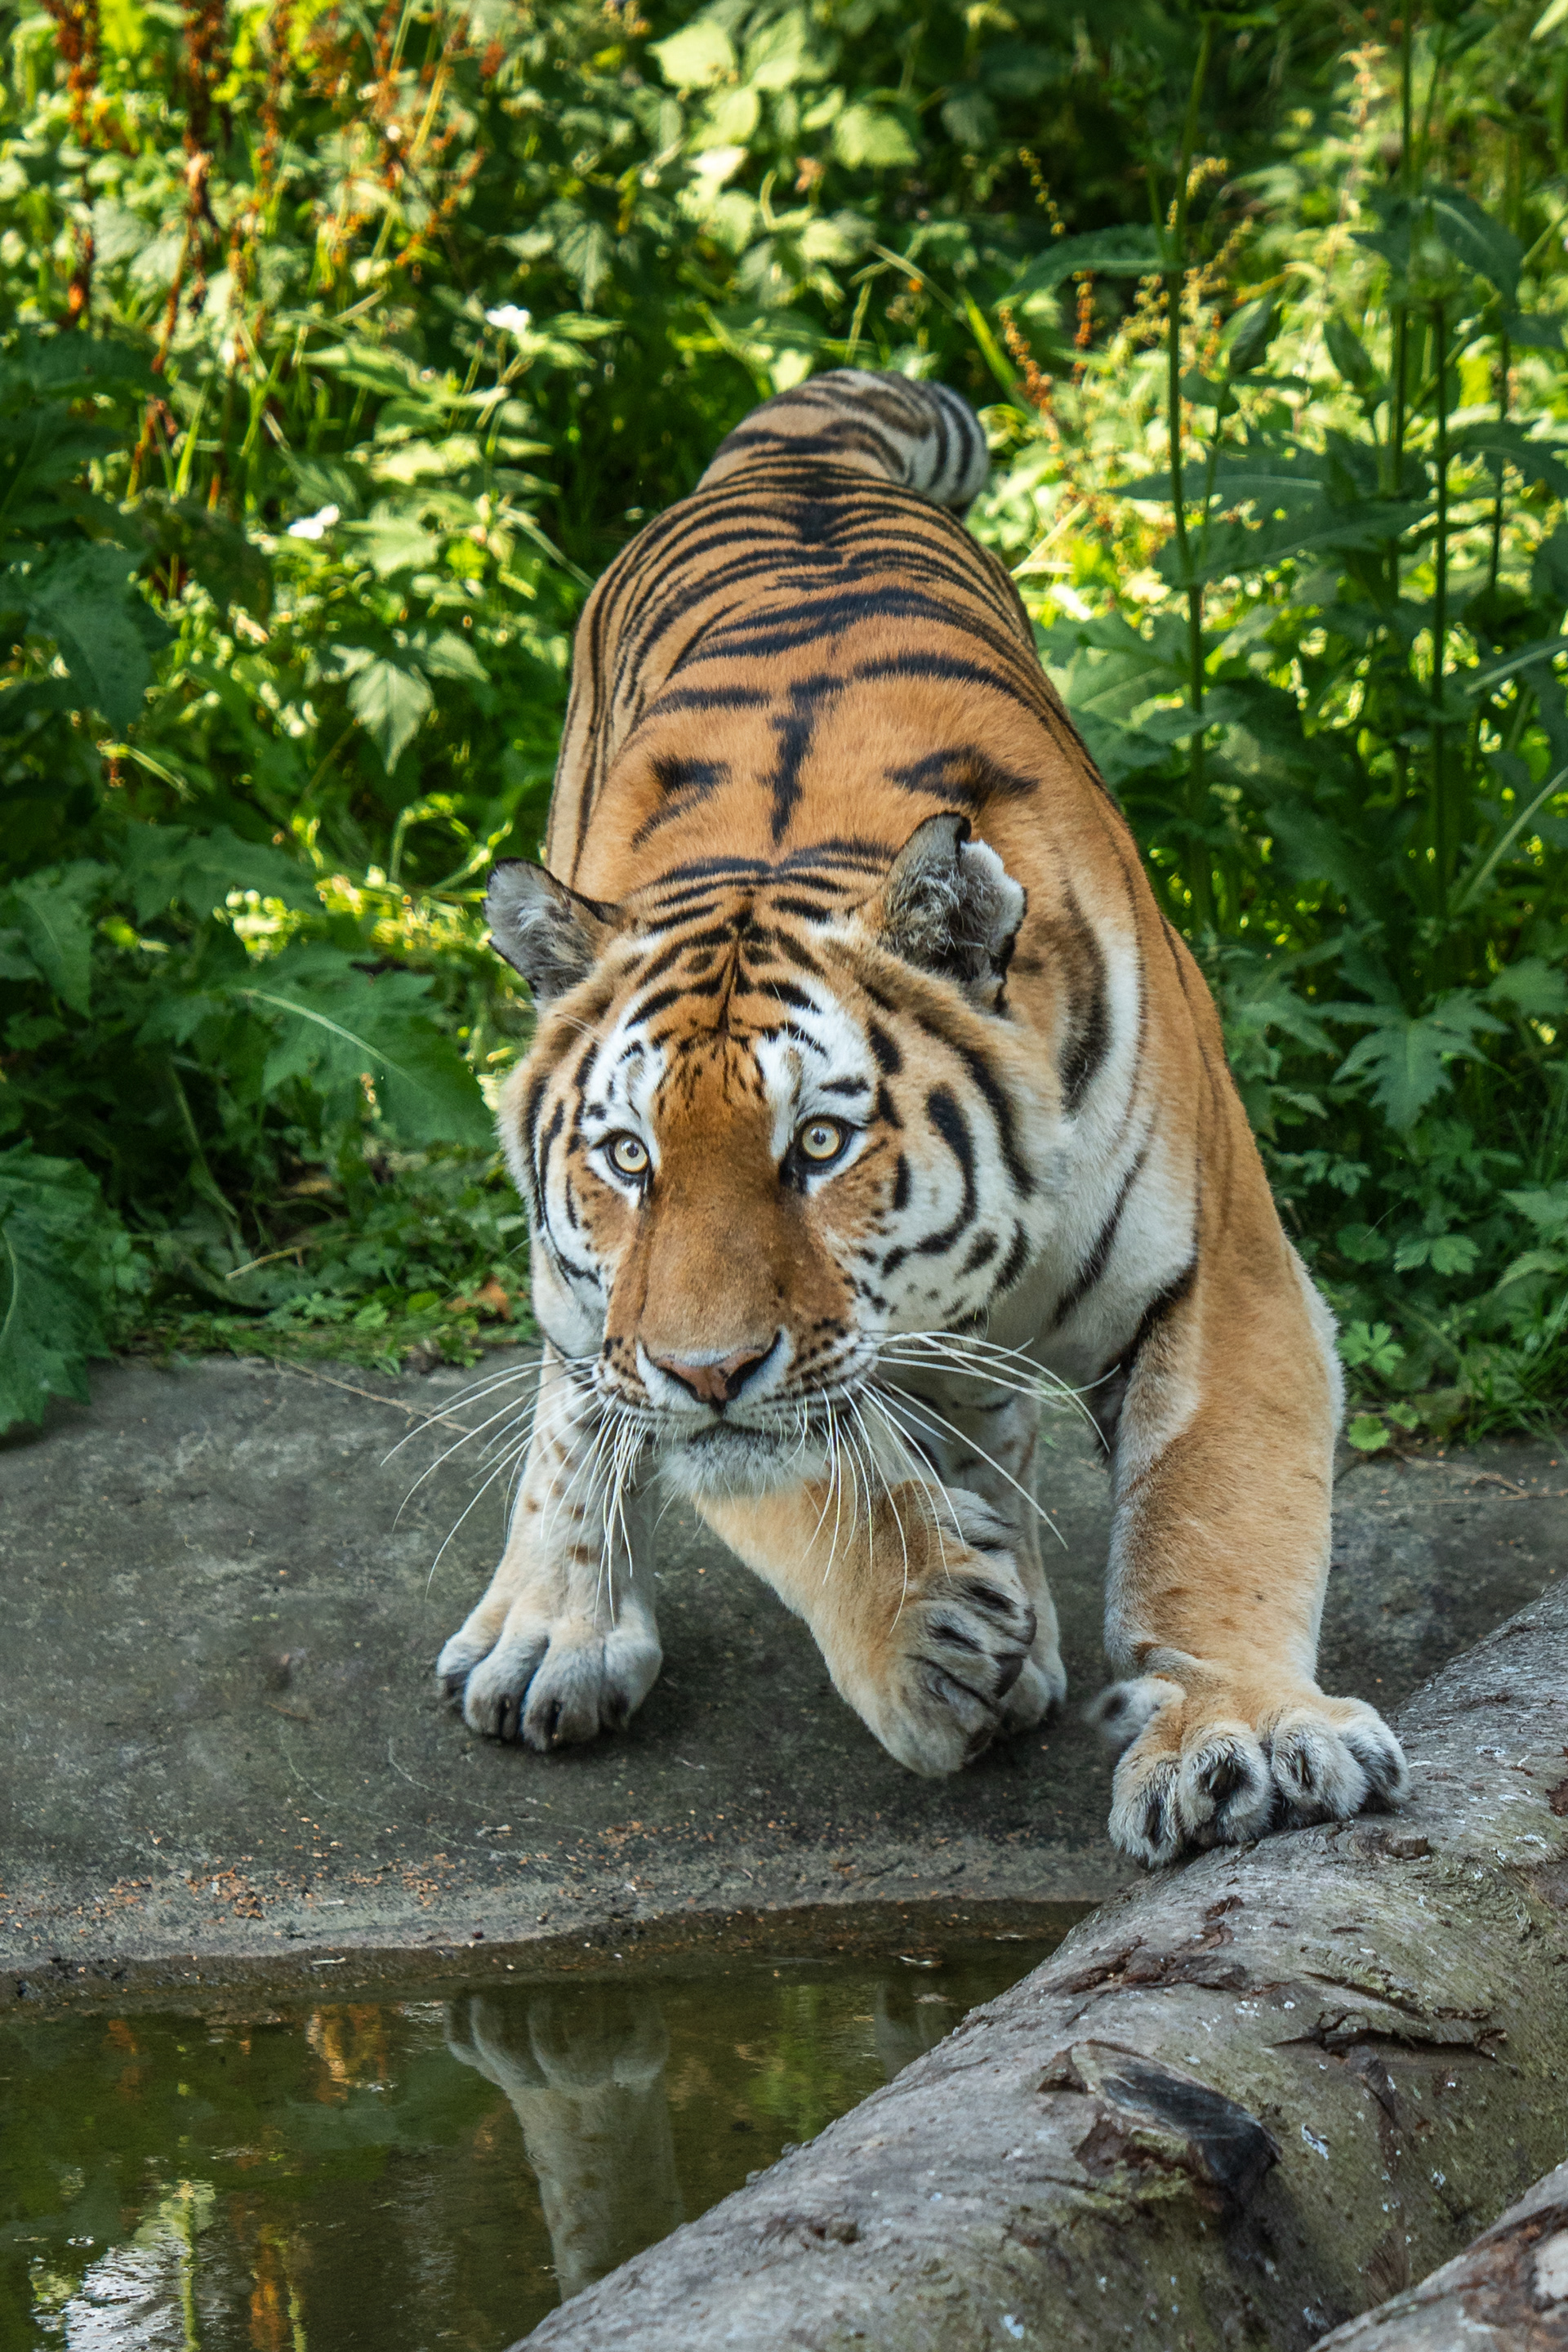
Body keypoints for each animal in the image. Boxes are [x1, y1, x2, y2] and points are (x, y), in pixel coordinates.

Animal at [436, 367, 1409, 1865]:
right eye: (629, 1159)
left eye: (819, 1147)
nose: (703, 1368)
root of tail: (788, 453)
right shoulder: (676, 1347)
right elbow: (784, 1463)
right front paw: (929, 1631)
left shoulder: (1220, 1271)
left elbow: (1209, 1515)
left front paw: (1241, 1735)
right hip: (582, 1296)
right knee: (580, 1396)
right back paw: (554, 1633)